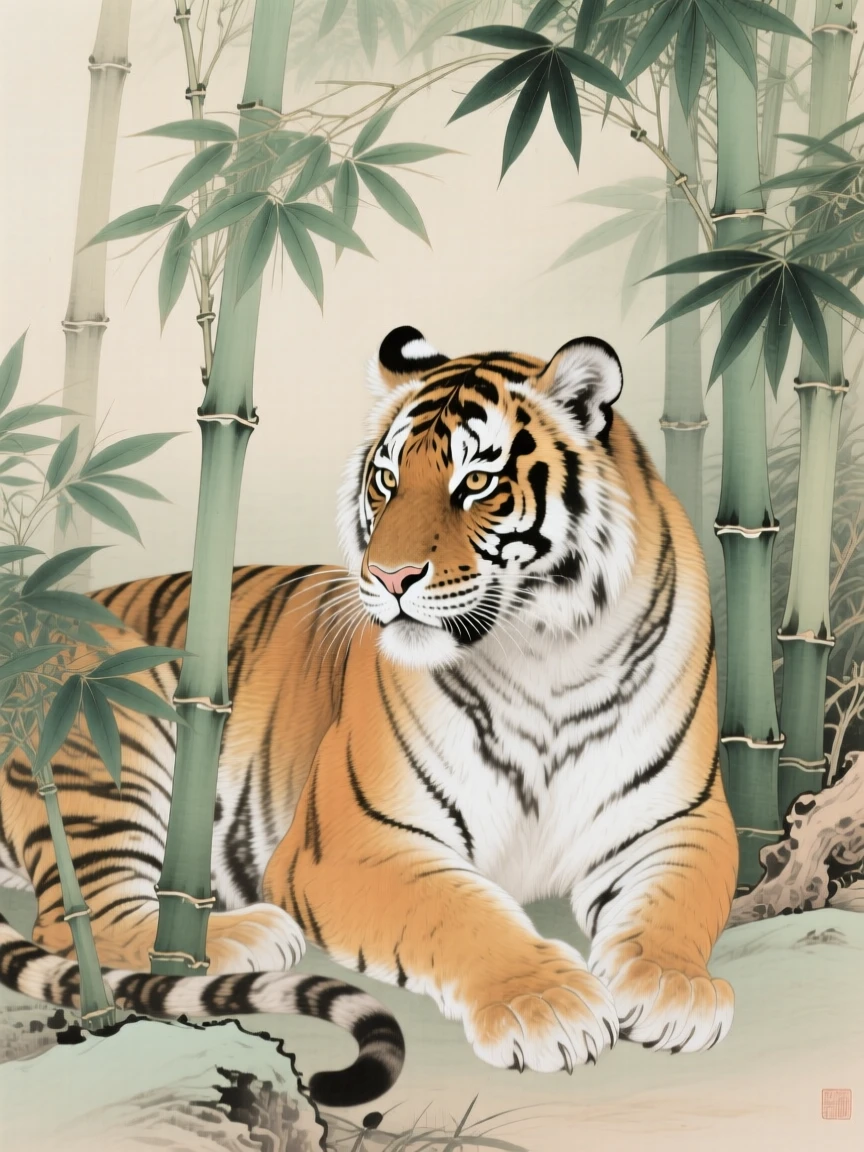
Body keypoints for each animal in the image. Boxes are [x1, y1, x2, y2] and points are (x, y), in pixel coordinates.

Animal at [0, 326, 738, 1107]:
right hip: (106, 738)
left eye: (476, 482)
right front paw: (545, 1004)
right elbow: (463, 909)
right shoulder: (354, 843)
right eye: (386, 479)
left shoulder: (677, 818)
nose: (388, 578)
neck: (546, 653)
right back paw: (239, 935)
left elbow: (674, 902)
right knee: (83, 918)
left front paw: (674, 989)